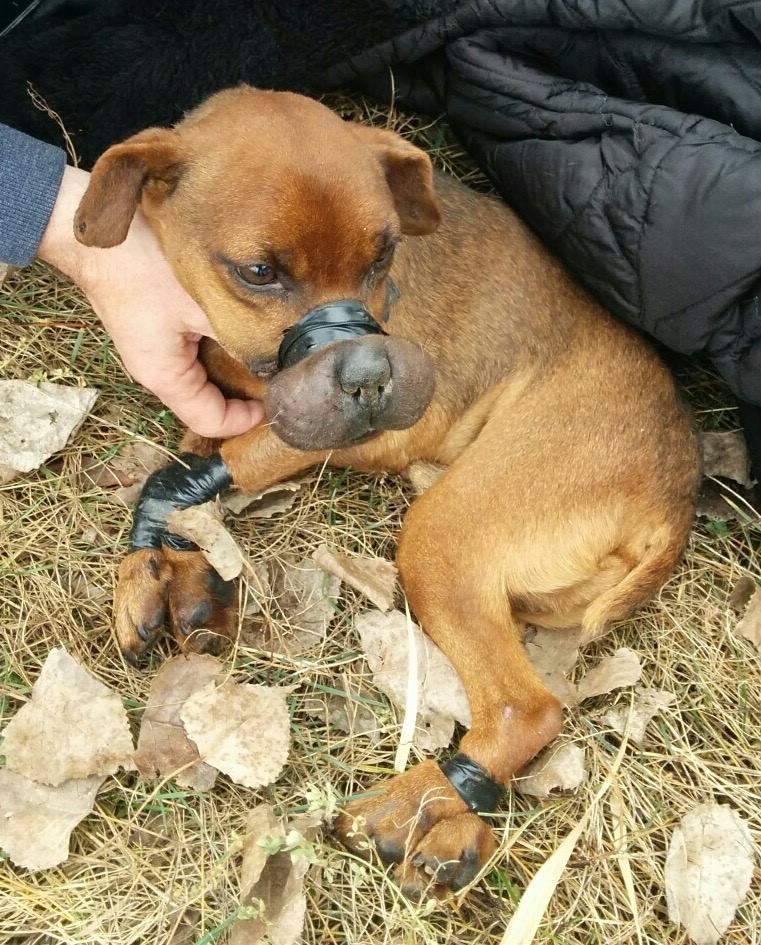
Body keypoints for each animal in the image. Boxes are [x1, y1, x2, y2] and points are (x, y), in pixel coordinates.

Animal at [74, 88, 696, 900]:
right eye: (258, 271)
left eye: (382, 258)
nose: (372, 376)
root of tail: (677, 497)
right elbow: (201, 453)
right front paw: (168, 560)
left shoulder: (366, 429)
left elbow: (237, 455)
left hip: (442, 533)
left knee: (526, 708)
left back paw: (425, 802)